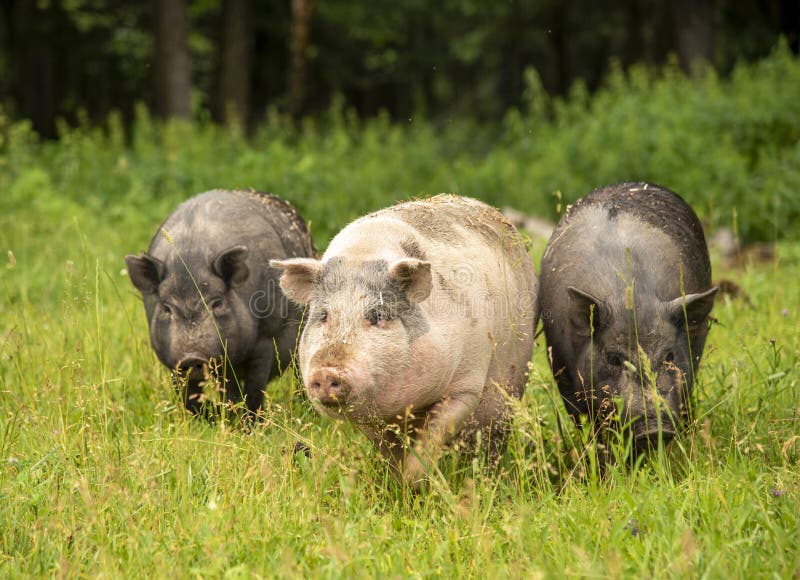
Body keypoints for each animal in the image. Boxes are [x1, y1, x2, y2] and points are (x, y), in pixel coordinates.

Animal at [123, 189, 314, 412]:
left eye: (217, 303)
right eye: (166, 308)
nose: (191, 356)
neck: (192, 256)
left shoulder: (266, 340)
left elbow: (254, 392)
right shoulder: (173, 360)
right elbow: (190, 399)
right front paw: (214, 413)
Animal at [270, 196, 536, 490]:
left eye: (377, 316)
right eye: (324, 316)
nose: (327, 372)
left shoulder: (466, 386)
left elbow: (435, 434)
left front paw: (415, 484)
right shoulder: (375, 416)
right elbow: (389, 450)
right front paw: (395, 483)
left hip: (509, 389)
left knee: (490, 440)